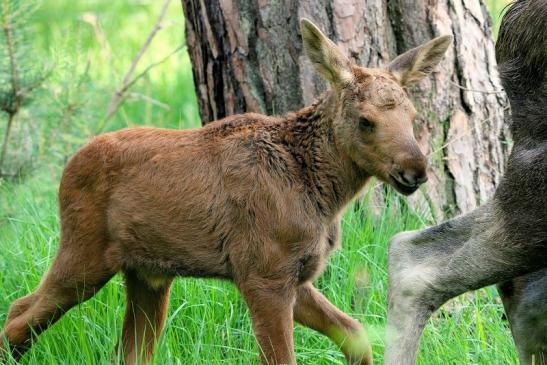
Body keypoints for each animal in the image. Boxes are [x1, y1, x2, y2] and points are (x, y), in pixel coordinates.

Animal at [0, 20, 452, 364]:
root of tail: (67, 169)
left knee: (122, 349)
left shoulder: (294, 276)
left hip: (147, 275)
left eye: (413, 115)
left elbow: (356, 334)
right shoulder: (262, 273)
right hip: (85, 254)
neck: (322, 194)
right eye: (365, 120)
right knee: (19, 315)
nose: (415, 171)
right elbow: (284, 357)